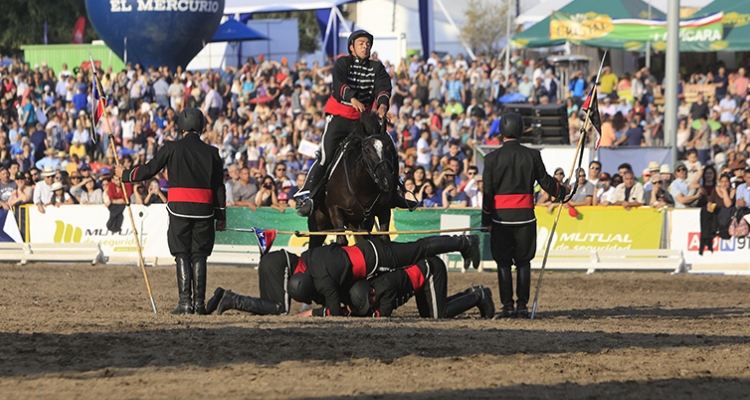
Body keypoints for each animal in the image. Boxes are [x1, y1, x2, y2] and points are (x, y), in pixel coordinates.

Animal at [306, 111, 400, 245]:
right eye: (367, 150)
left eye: (388, 147)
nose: (387, 181)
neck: (361, 187)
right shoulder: (335, 209)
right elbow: (341, 241)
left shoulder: (383, 211)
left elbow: (383, 238)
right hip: (318, 225)